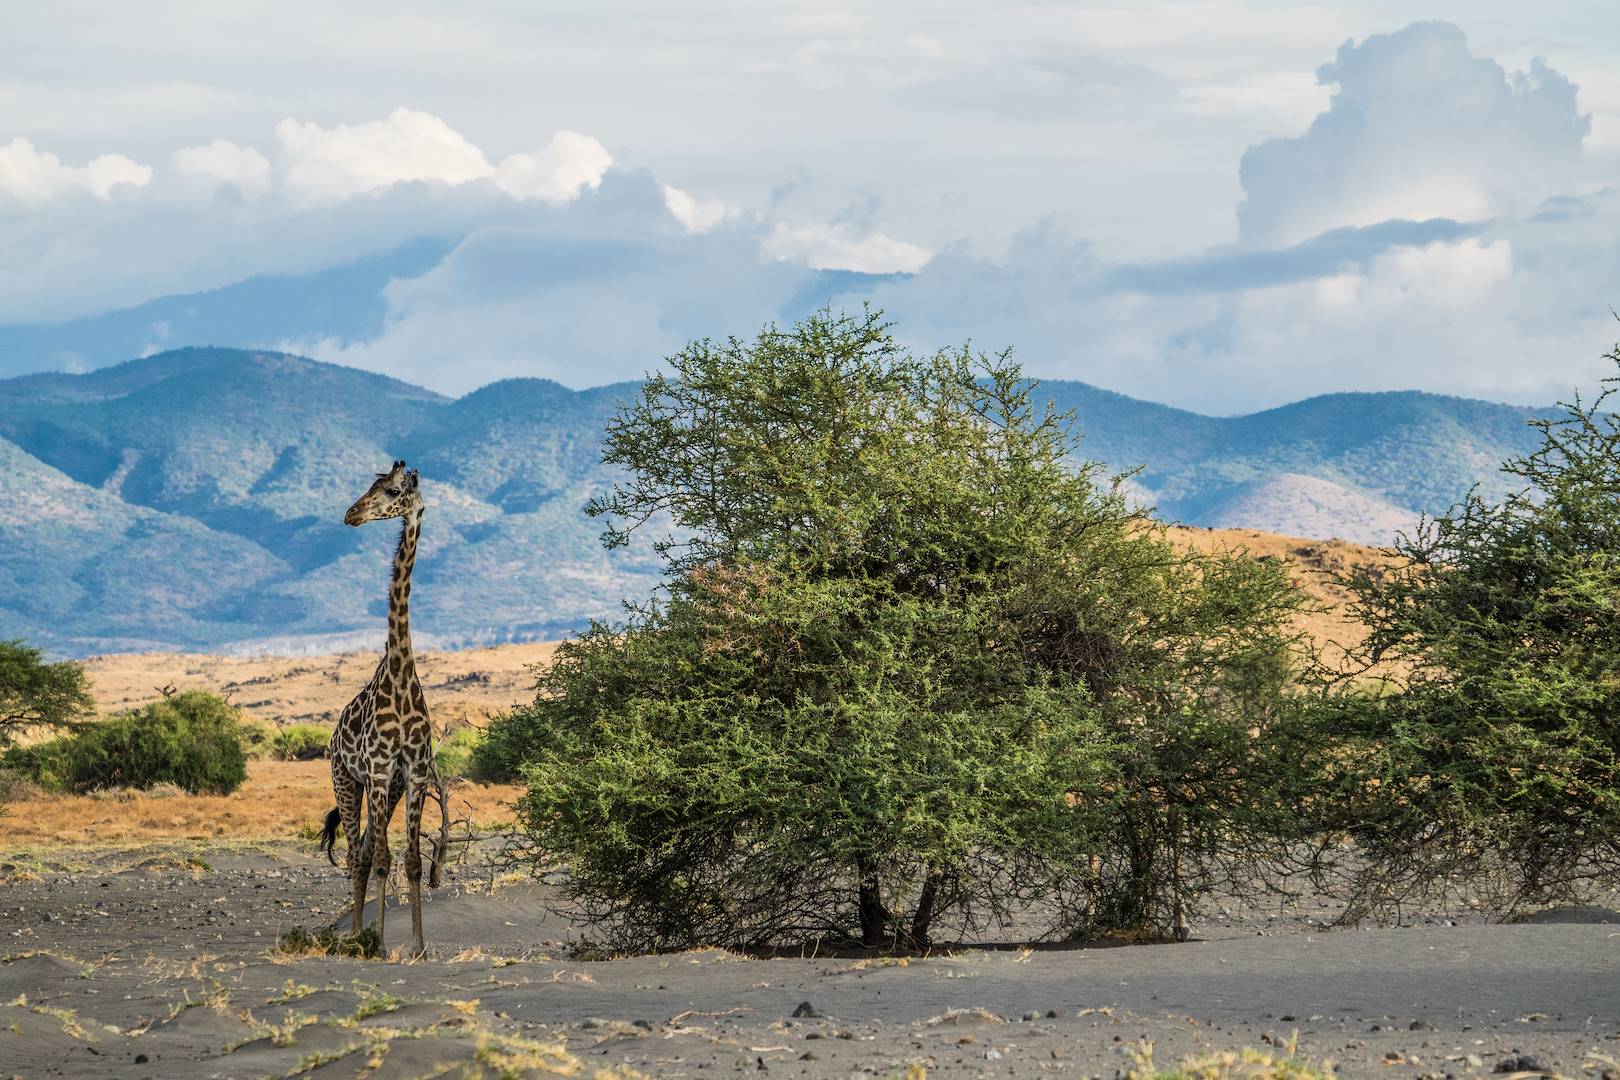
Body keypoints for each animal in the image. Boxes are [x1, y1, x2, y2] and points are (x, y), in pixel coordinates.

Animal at [318, 459, 450, 958]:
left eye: (392, 491)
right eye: (371, 485)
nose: (351, 514)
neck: (400, 676)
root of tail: (333, 735)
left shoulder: (412, 772)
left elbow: (409, 860)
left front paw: (417, 945)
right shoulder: (375, 770)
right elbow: (380, 858)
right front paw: (375, 941)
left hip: (386, 790)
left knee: (366, 851)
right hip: (345, 779)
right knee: (357, 854)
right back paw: (357, 936)